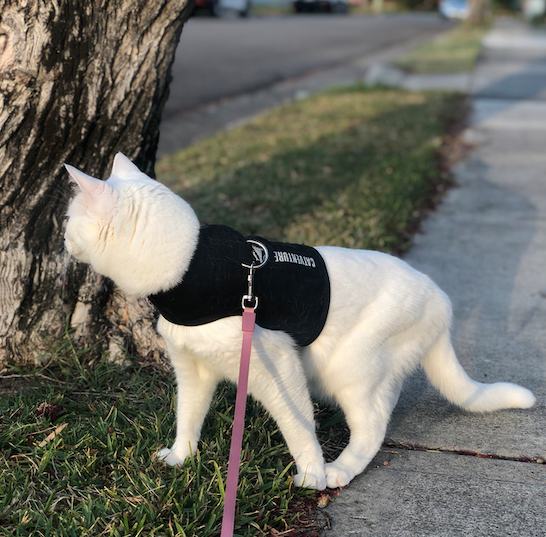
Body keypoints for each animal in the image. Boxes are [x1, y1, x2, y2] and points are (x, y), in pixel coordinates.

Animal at [62, 152, 532, 490]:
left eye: (69, 218)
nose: (61, 237)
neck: (191, 267)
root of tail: (443, 302)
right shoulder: (192, 369)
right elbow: (188, 416)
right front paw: (181, 458)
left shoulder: (276, 365)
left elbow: (296, 426)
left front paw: (312, 474)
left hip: (349, 370)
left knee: (373, 427)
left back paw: (338, 471)